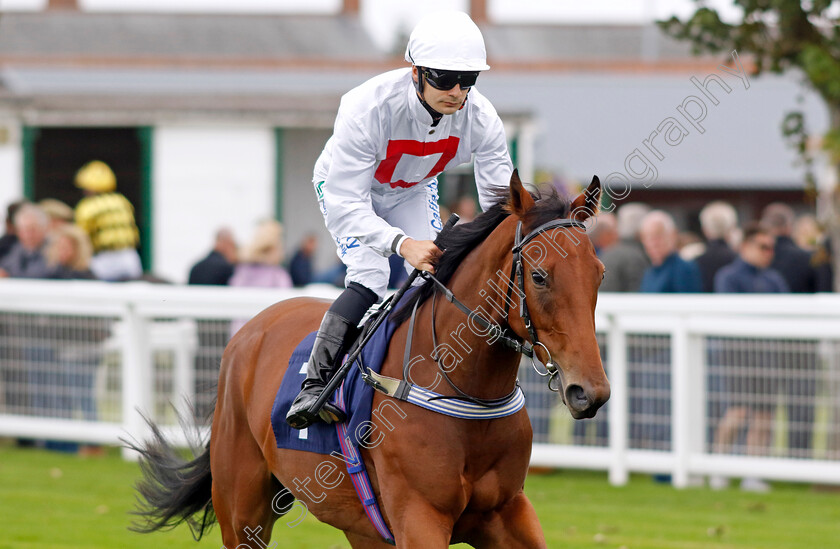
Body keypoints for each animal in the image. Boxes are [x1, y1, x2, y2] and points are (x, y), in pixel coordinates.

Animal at [135, 170, 612, 544]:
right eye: (539, 275)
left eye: (599, 273)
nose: (590, 392)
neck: (464, 391)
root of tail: (250, 330)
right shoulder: (419, 517)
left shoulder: (507, 511)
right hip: (242, 510)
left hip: (358, 525)